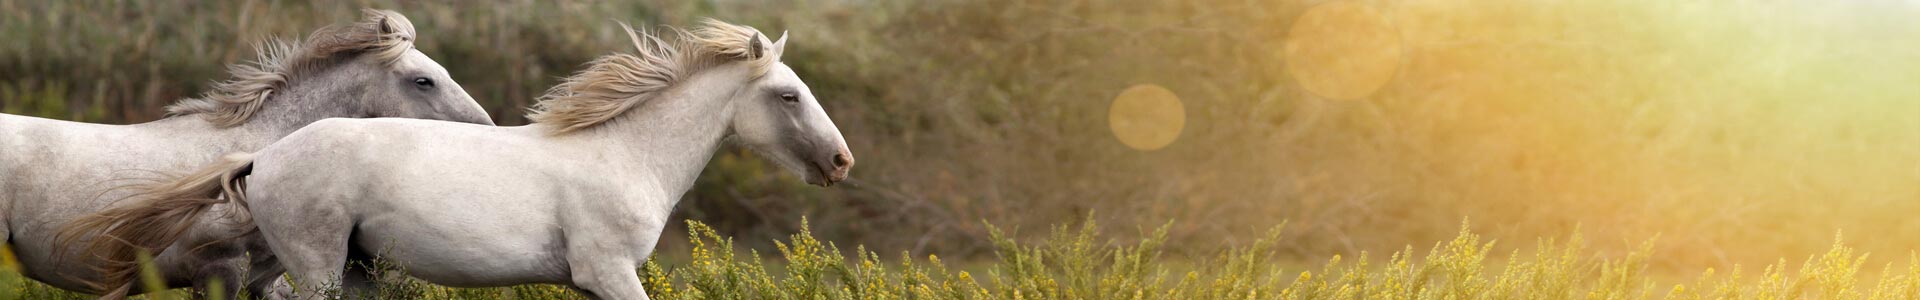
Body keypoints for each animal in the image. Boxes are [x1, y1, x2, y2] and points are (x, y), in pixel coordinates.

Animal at [72, 19, 856, 298]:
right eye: (788, 94)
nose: (841, 162)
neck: (622, 155)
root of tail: (261, 161)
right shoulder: (608, 273)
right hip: (319, 268)